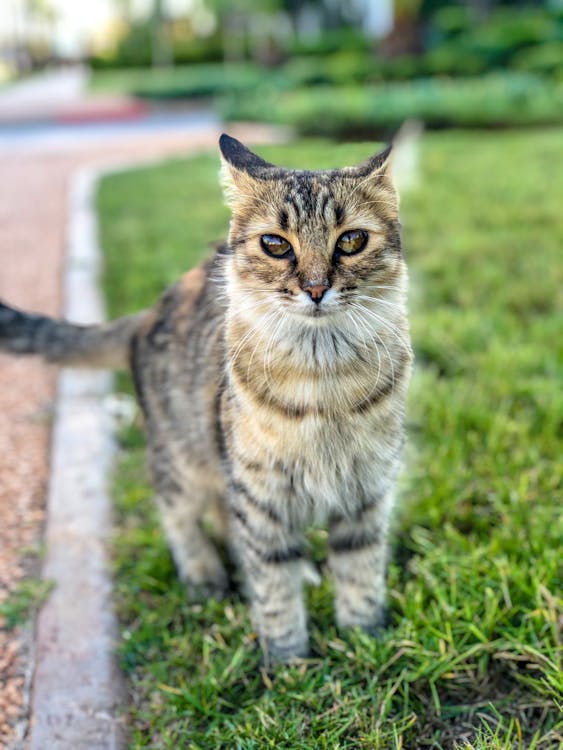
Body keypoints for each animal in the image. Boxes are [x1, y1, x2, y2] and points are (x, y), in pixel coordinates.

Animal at [1, 135, 414, 664]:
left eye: (351, 240)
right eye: (276, 245)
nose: (317, 288)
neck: (323, 382)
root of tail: (146, 314)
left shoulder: (366, 492)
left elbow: (360, 574)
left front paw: (365, 640)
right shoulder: (258, 494)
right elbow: (273, 586)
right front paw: (289, 662)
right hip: (182, 459)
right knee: (178, 515)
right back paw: (203, 576)